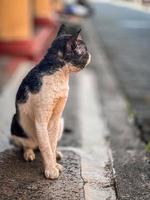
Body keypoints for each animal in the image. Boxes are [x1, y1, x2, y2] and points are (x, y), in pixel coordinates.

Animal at [10, 24, 91, 179]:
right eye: (85, 51)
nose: (90, 55)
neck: (61, 76)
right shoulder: (41, 119)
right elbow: (46, 147)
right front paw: (51, 170)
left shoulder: (55, 118)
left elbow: (51, 145)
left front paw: (54, 164)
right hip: (17, 123)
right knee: (28, 145)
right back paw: (29, 153)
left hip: (61, 122)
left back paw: (57, 154)